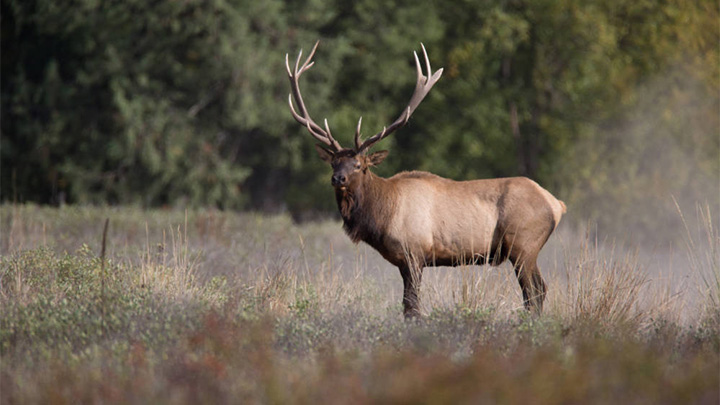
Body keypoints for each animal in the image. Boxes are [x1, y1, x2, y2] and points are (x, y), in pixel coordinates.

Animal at [284, 41, 564, 318]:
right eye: (333, 162)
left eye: (359, 165)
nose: (337, 178)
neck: (382, 213)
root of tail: (557, 204)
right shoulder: (402, 261)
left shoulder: (414, 253)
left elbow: (412, 306)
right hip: (524, 250)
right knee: (537, 290)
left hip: (523, 245)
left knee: (535, 291)